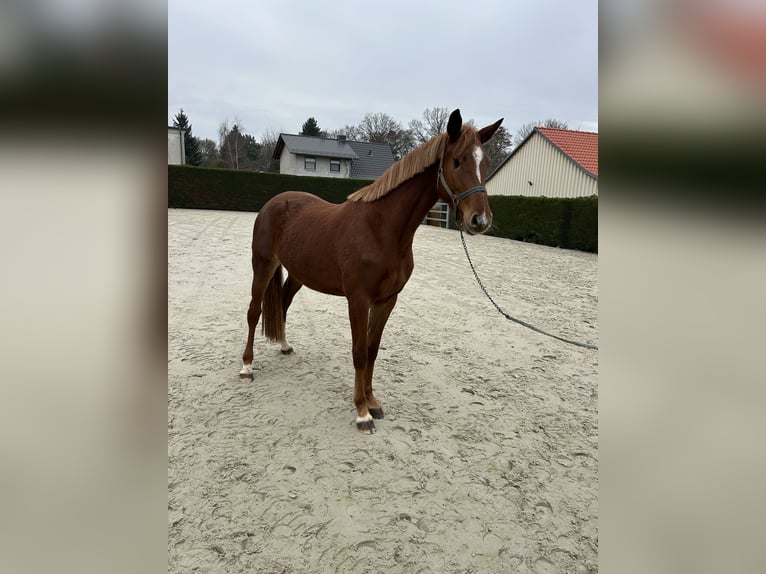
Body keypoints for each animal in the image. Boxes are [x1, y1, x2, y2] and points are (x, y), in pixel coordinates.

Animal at [239, 109, 503, 433]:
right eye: (457, 161)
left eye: (485, 162)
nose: (480, 220)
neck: (380, 230)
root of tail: (274, 203)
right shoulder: (358, 300)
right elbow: (359, 352)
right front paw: (361, 412)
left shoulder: (387, 300)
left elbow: (373, 350)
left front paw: (373, 402)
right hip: (262, 265)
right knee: (254, 311)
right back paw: (247, 367)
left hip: (298, 274)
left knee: (283, 305)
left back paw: (285, 346)